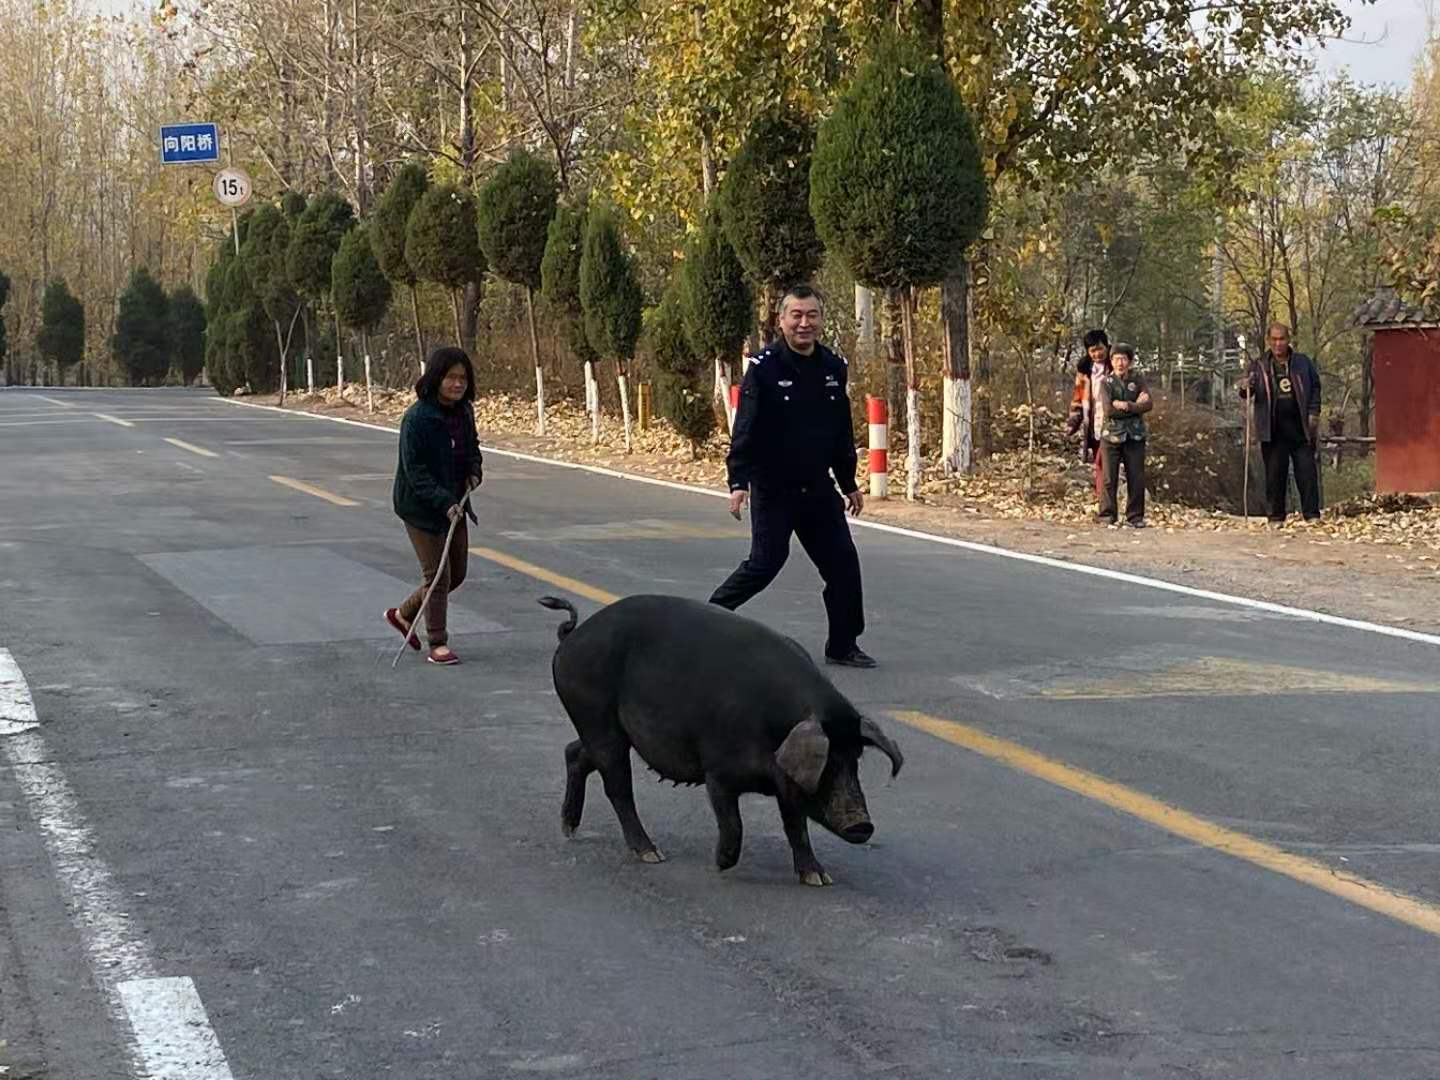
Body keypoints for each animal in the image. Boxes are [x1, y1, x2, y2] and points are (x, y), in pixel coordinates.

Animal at [538, 593, 898, 887]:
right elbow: (733, 821)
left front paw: (819, 879)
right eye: (826, 763)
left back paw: (569, 828)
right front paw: (720, 865)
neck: (775, 728)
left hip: (605, 728)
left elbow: (796, 827)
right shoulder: (718, 771)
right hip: (597, 717)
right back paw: (652, 854)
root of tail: (572, 636)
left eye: (854, 760)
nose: (862, 824)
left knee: (575, 753)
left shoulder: (786, 782)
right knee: (617, 787)